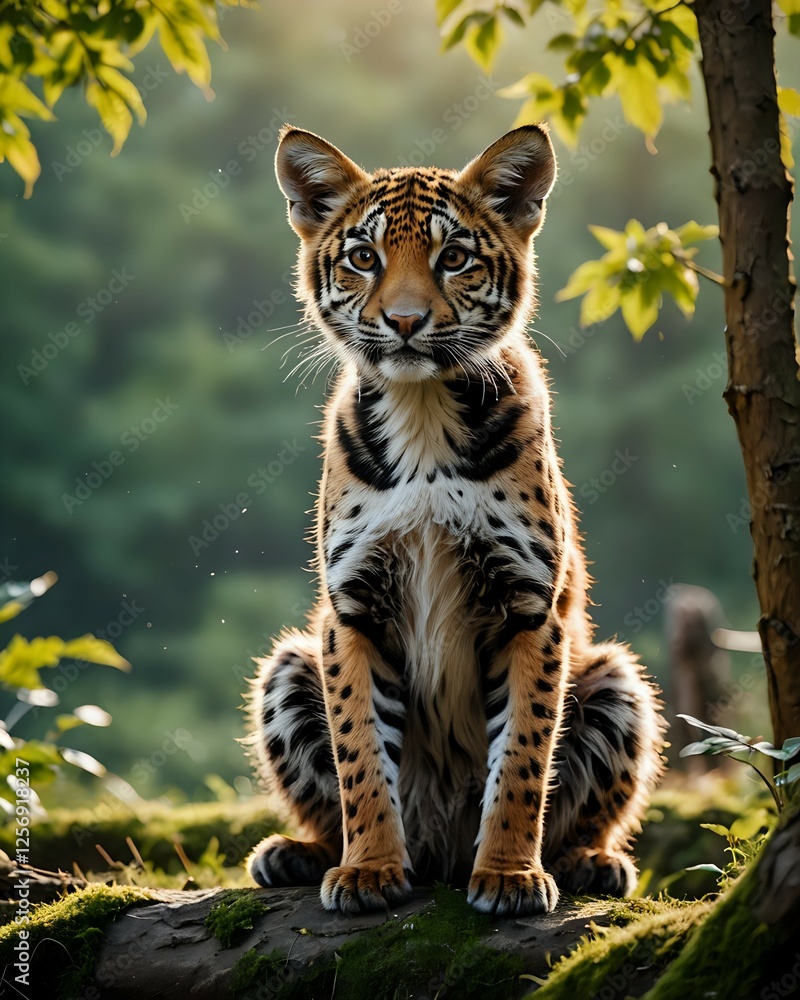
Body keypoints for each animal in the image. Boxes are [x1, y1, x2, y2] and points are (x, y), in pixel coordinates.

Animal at [244, 124, 665, 916]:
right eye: (364, 258)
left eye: (455, 258)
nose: (405, 322)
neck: (423, 410)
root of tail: (440, 852)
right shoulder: (353, 607)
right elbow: (359, 758)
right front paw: (369, 870)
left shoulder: (527, 605)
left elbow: (523, 759)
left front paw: (508, 875)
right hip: (289, 664)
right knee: (326, 805)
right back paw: (299, 855)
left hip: (616, 677)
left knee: (582, 810)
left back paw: (589, 864)